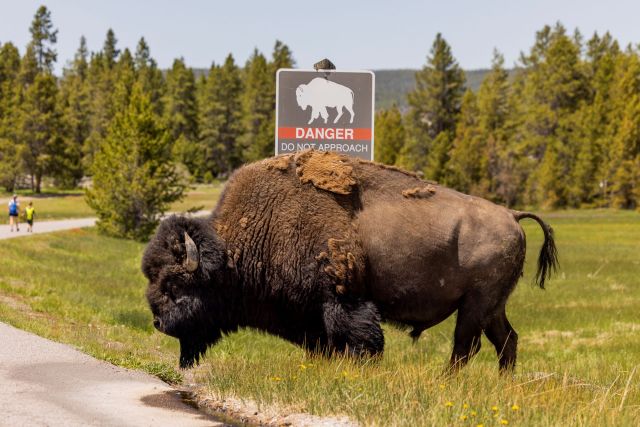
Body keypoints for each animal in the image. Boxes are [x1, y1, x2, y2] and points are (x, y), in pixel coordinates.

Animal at [142, 150, 558, 371]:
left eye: (176, 285)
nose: (158, 323)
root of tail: (511, 215)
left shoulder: (342, 299)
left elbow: (360, 338)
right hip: (491, 307)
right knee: (506, 340)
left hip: (475, 305)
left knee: (465, 347)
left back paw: (448, 382)